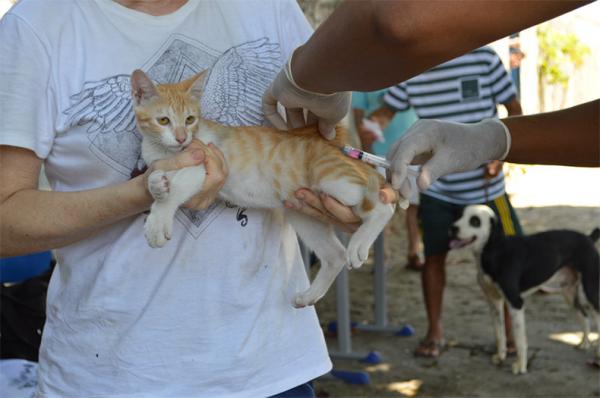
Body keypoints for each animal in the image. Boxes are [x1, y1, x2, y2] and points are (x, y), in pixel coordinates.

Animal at [131, 68, 394, 306]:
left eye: (190, 119)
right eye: (163, 120)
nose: (181, 138)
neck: (167, 152)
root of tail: (336, 145)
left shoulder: (201, 163)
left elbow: (176, 188)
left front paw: (157, 221)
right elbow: (156, 178)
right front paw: (157, 185)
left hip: (333, 179)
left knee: (384, 205)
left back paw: (359, 244)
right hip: (302, 212)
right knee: (335, 255)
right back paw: (309, 295)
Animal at [452, 204, 596, 374]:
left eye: (475, 221)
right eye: (458, 215)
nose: (453, 228)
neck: (495, 250)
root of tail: (588, 237)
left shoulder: (515, 303)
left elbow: (520, 339)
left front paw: (520, 366)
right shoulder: (494, 302)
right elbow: (499, 333)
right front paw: (501, 356)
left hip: (592, 290)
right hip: (569, 293)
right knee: (585, 316)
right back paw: (585, 344)